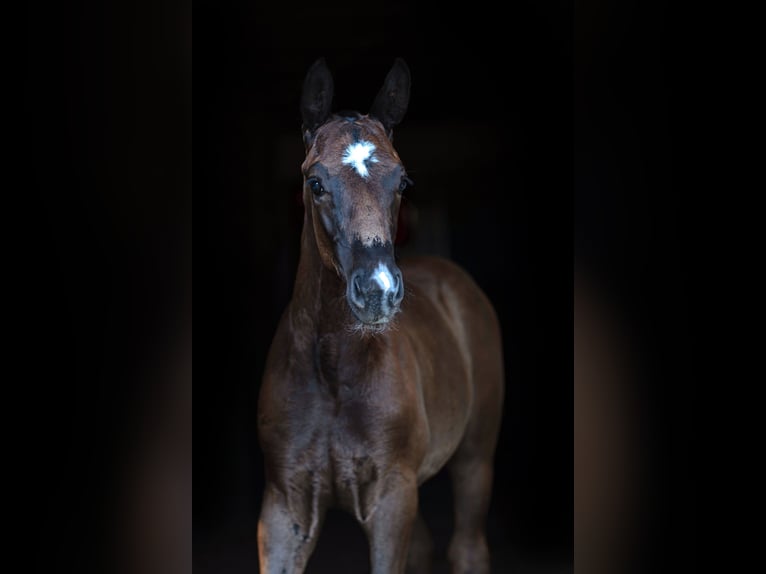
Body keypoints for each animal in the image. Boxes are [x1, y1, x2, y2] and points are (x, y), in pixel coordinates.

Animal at [258, 59, 508, 574]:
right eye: (316, 182)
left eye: (402, 182)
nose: (379, 291)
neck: (334, 376)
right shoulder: (283, 507)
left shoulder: (392, 498)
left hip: (474, 460)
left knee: (468, 547)